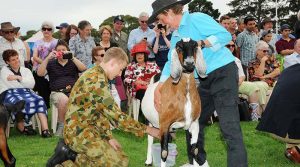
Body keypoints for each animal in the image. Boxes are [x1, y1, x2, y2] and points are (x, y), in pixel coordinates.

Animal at [141, 38, 206, 167]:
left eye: (195, 46)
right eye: (179, 47)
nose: (189, 63)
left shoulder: (194, 124)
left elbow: (194, 150)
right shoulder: (165, 125)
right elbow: (164, 153)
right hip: (149, 121)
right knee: (150, 138)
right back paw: (148, 161)